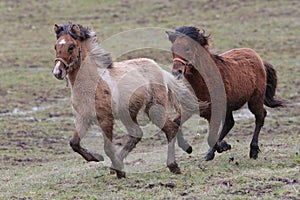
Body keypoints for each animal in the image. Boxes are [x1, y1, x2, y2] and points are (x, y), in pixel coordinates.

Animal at [52, 22, 206, 178]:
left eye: (71, 46)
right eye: (55, 46)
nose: (57, 72)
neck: (92, 82)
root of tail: (160, 70)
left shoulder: (105, 119)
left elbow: (108, 148)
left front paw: (120, 171)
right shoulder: (83, 118)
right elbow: (74, 143)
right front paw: (97, 158)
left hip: (154, 109)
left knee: (170, 129)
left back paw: (173, 166)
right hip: (128, 113)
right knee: (137, 133)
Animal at [166, 26, 282, 161]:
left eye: (187, 48)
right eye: (173, 49)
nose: (176, 72)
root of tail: (259, 59)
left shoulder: (213, 112)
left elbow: (211, 137)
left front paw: (224, 146)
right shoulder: (189, 109)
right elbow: (176, 123)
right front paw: (188, 147)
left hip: (255, 100)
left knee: (260, 116)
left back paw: (253, 150)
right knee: (230, 123)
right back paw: (211, 153)